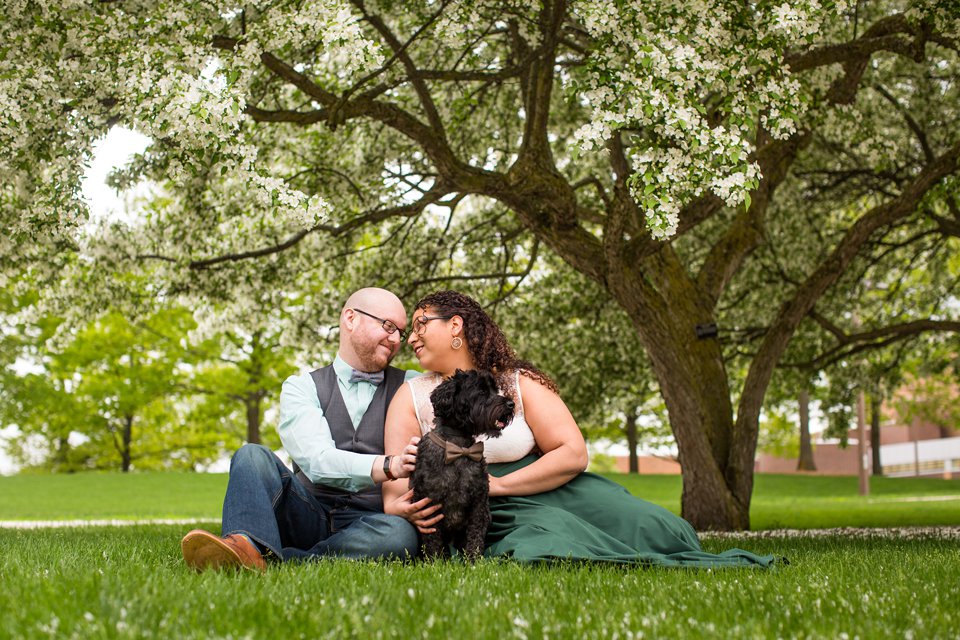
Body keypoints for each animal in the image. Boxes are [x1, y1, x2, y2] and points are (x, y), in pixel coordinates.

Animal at [412, 370, 516, 560]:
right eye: (481, 391)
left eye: (495, 389)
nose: (511, 404)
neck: (458, 447)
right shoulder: (429, 503)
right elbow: (433, 539)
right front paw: (435, 562)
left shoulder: (478, 502)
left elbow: (475, 535)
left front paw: (474, 562)